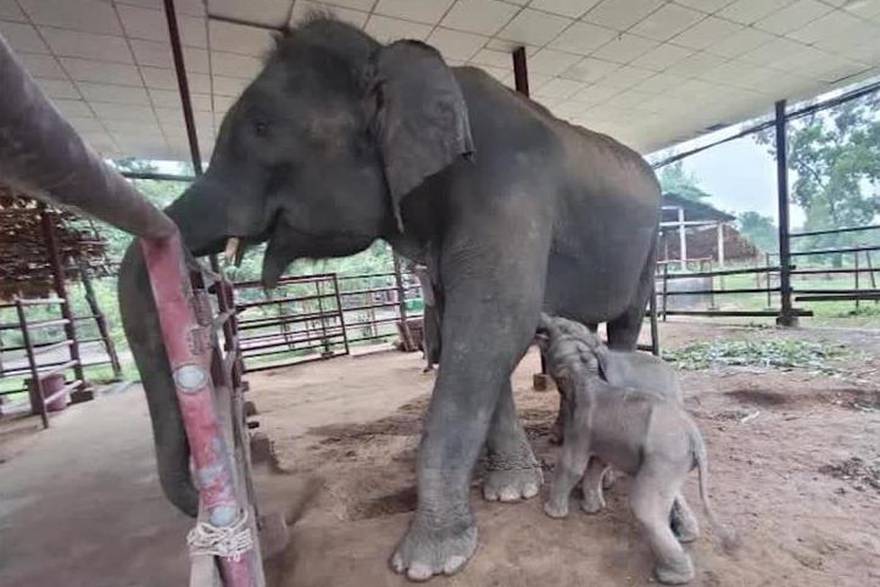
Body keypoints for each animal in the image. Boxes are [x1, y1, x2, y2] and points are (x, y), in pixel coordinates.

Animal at [117, 14, 656, 584]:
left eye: (261, 127)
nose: (260, 523)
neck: (393, 58)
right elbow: (472, 327)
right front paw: (511, 491)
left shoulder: (509, 188)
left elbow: (494, 323)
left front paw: (426, 561)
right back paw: (560, 435)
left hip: (648, 249)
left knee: (625, 326)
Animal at [536, 314, 736, 584]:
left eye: (560, 329)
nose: (541, 322)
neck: (589, 372)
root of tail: (695, 437)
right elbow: (597, 464)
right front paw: (593, 509)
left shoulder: (581, 426)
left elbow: (573, 464)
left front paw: (552, 514)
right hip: (671, 458)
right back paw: (686, 537)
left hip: (663, 456)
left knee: (645, 505)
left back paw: (670, 576)